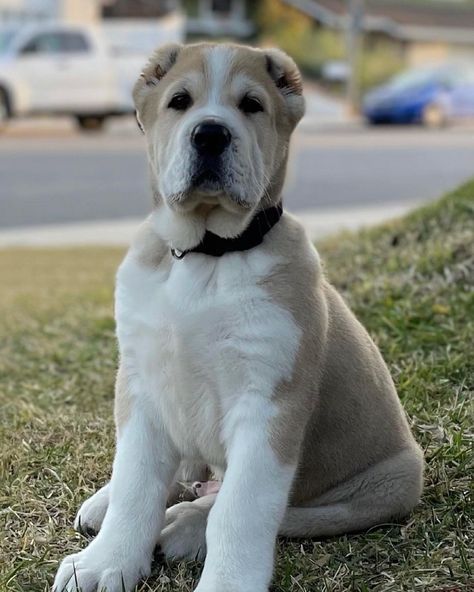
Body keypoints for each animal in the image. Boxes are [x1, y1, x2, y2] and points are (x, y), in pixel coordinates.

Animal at [53, 44, 424, 592]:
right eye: (179, 101)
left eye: (251, 105)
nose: (210, 134)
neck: (206, 254)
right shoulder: (143, 384)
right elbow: (136, 483)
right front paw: (107, 561)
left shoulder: (268, 406)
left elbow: (241, 510)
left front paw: (223, 578)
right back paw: (115, 502)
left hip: (383, 485)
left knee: (264, 508)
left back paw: (186, 525)